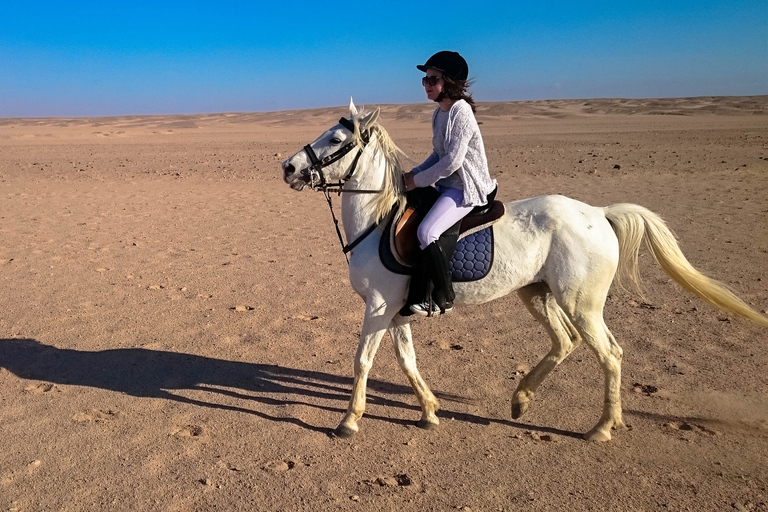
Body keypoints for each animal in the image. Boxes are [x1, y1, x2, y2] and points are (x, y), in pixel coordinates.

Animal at [282, 99, 768, 440]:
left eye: (336, 140)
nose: (289, 166)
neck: (379, 221)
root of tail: (600, 213)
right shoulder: (398, 310)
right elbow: (407, 361)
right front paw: (430, 411)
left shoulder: (379, 307)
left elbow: (363, 360)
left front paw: (349, 421)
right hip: (536, 293)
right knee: (566, 342)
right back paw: (521, 401)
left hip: (581, 304)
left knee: (609, 354)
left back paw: (601, 428)